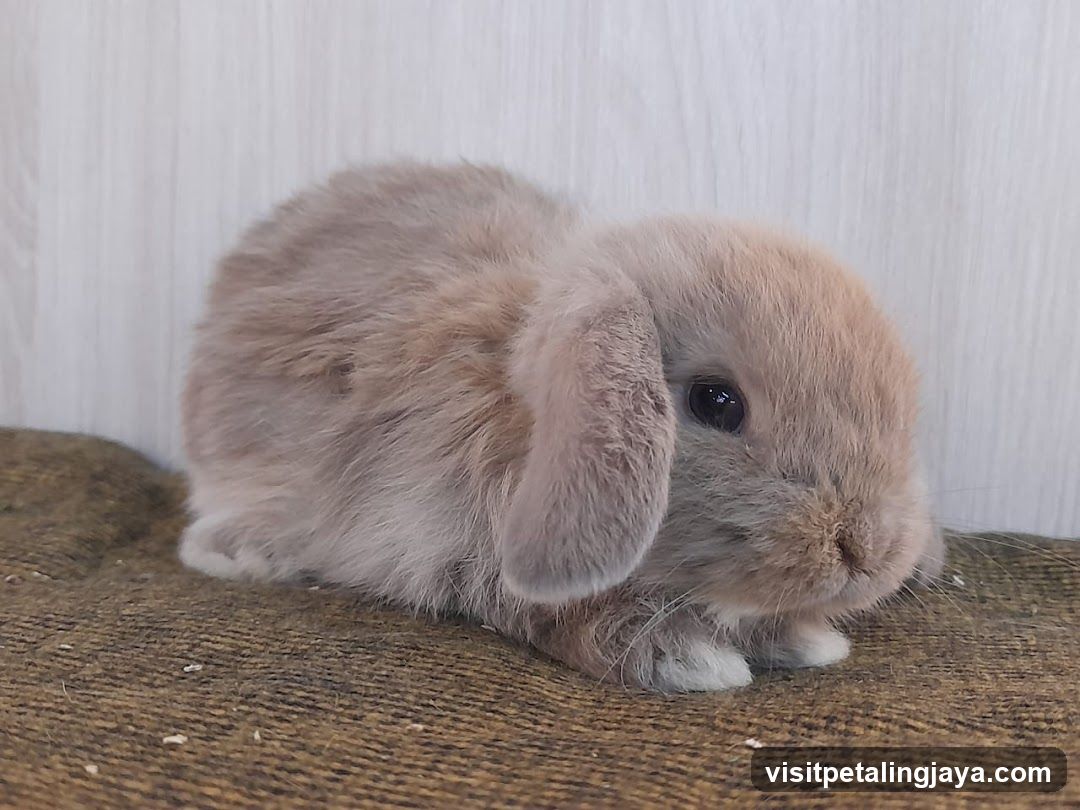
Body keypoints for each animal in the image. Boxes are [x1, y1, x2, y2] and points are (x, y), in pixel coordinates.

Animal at [180, 161, 941, 692]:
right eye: (717, 402)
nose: (869, 550)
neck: (520, 417)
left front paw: (807, 640)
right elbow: (555, 612)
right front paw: (689, 659)